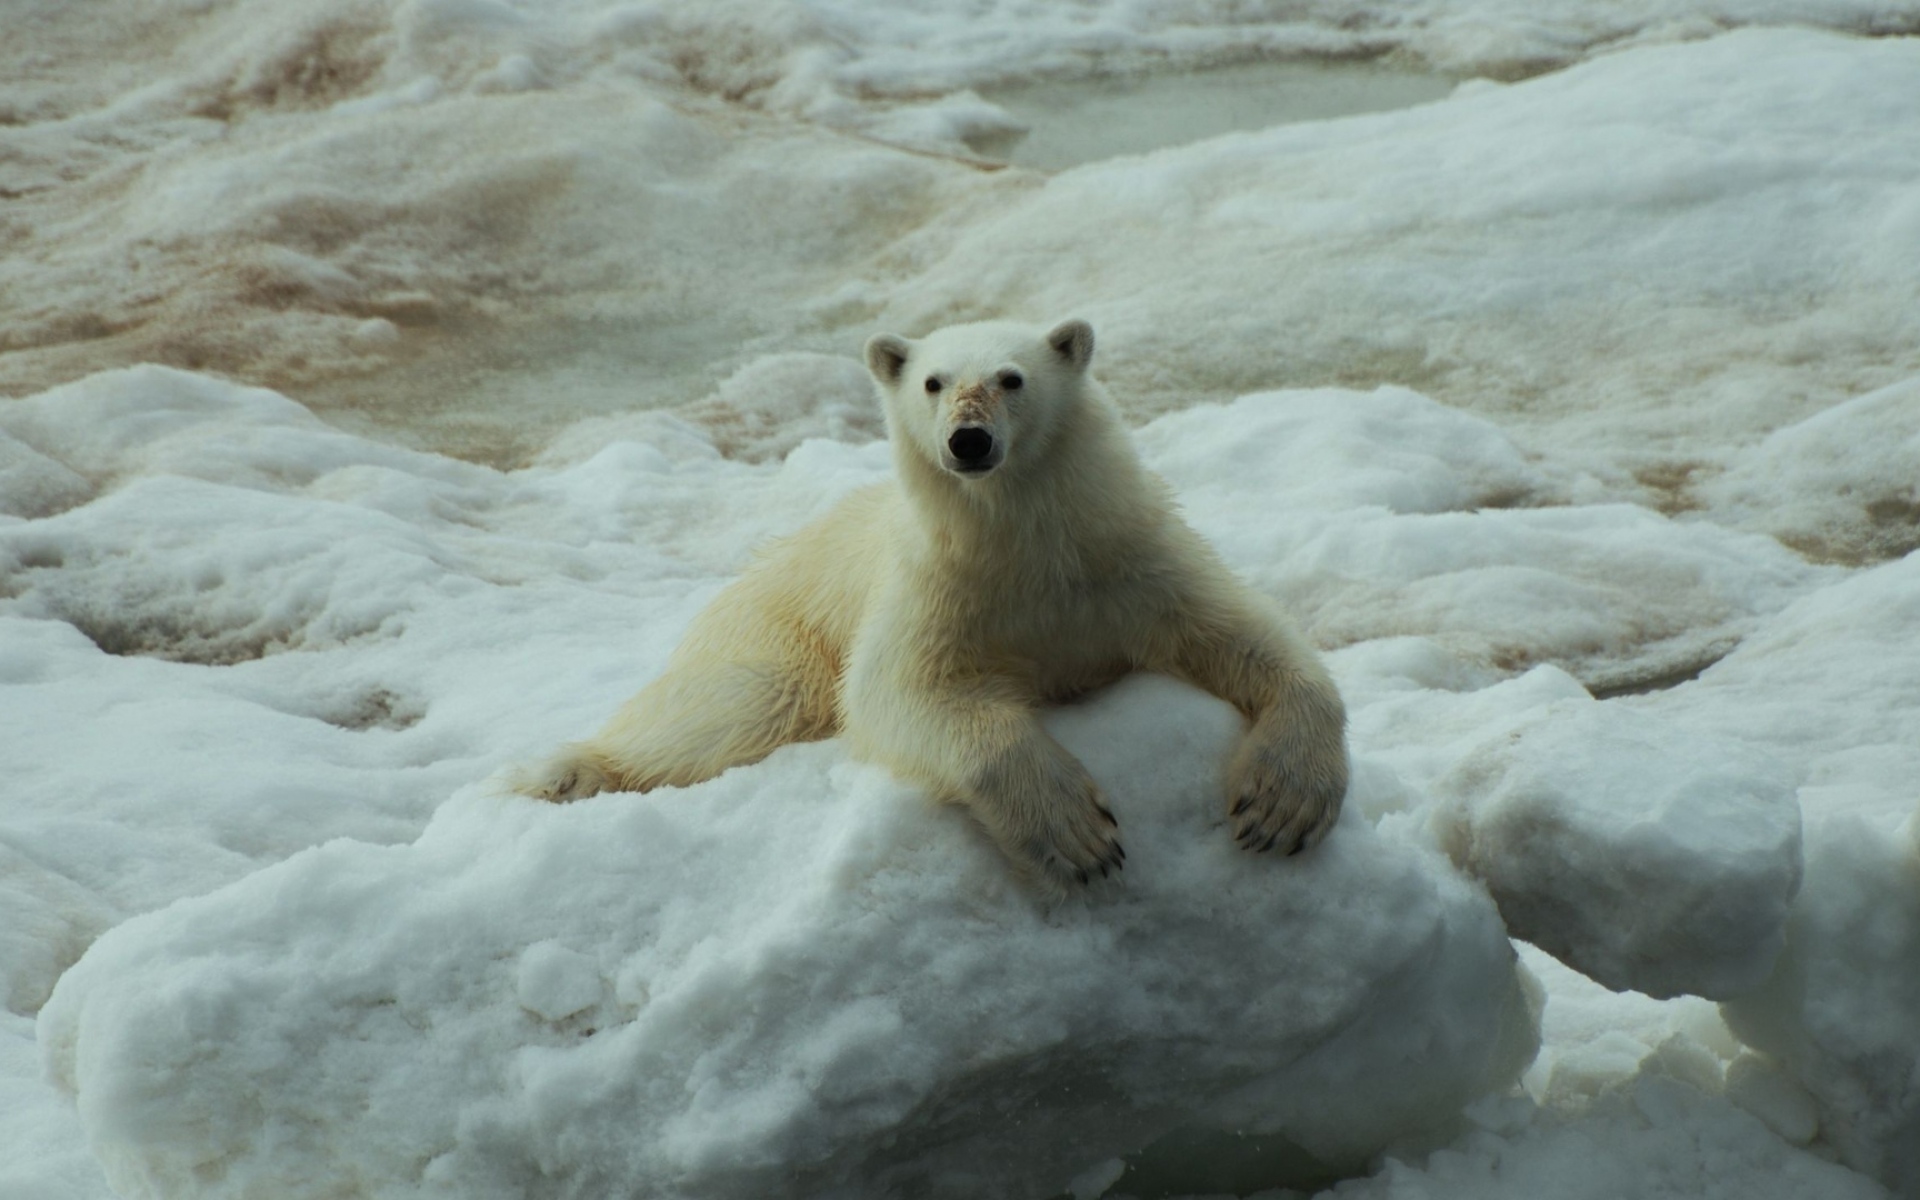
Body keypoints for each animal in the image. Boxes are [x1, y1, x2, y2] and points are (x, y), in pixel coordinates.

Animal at [515, 318, 1349, 888]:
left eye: (1011, 377)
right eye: (933, 381)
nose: (968, 441)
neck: (1028, 548)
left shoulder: (1130, 563)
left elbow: (1244, 635)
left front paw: (1280, 807)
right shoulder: (938, 592)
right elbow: (901, 693)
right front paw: (1081, 836)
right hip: (774, 631)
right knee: (735, 707)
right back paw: (566, 773)